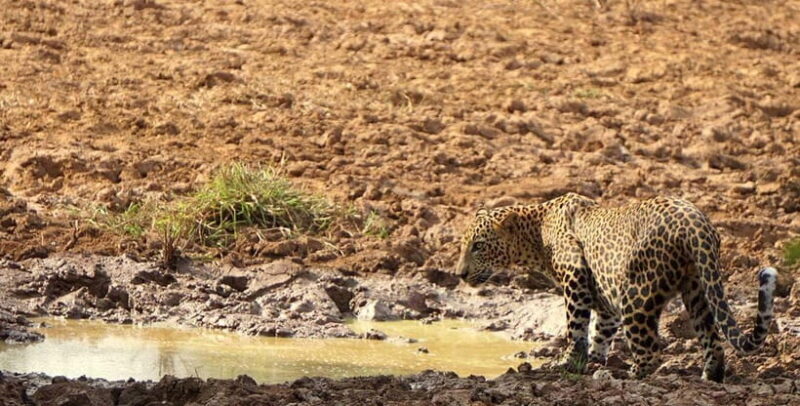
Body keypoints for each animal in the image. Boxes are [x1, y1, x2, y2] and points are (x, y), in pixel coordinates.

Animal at [456, 192, 777, 382]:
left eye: (478, 246)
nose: (459, 274)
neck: (535, 230)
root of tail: (695, 222)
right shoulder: (603, 297)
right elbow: (602, 331)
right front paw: (595, 361)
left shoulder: (575, 276)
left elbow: (576, 327)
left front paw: (569, 364)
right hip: (698, 288)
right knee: (712, 337)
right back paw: (710, 376)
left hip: (637, 294)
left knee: (650, 349)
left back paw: (630, 376)